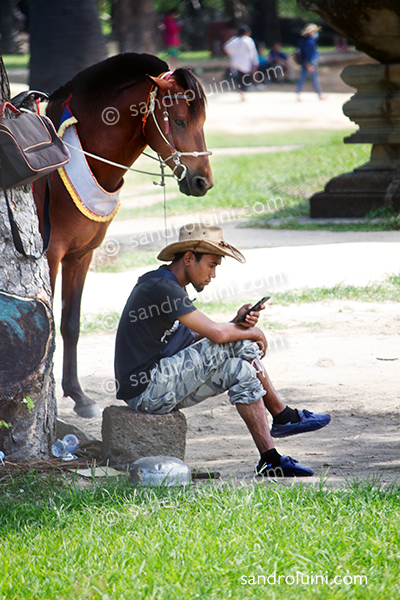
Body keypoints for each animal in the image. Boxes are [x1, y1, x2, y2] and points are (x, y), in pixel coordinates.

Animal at [32, 52, 214, 418]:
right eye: (180, 122)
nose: (203, 181)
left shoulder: (80, 255)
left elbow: (70, 323)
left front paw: (78, 395)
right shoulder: (51, 254)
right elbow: (49, 327)